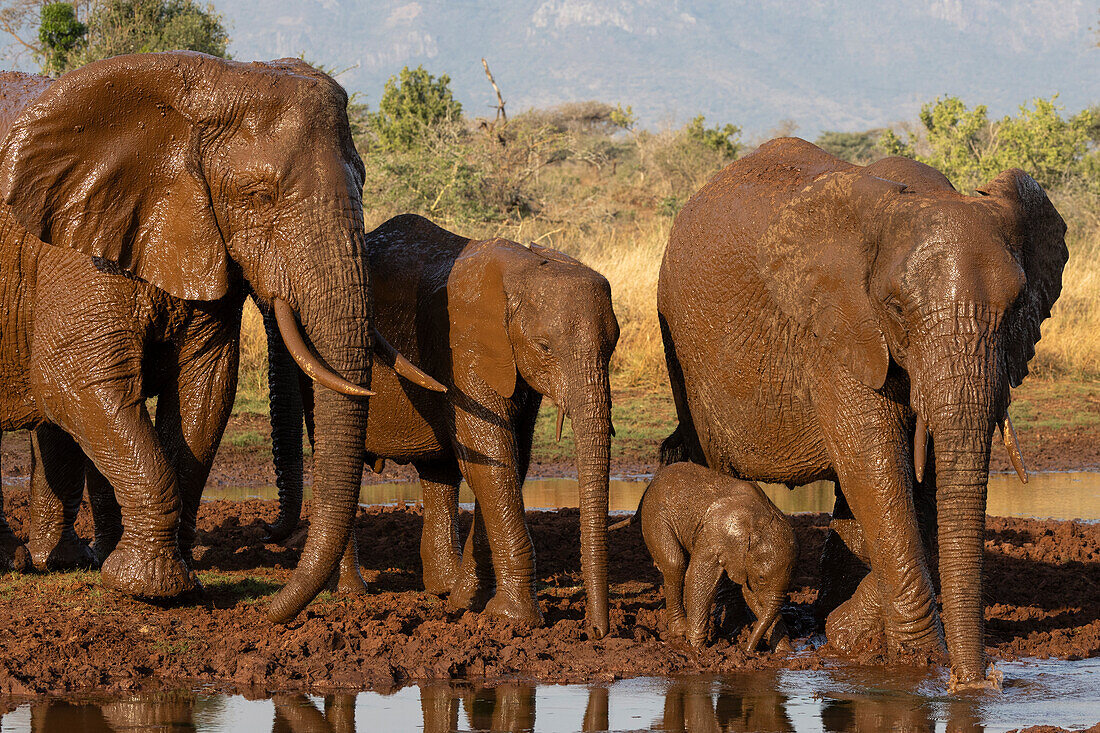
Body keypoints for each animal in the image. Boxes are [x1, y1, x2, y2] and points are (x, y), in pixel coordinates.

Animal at [0, 51, 429, 616]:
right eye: (257, 196)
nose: (266, 612)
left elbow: (204, 389)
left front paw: (182, 584)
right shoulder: (74, 248)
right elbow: (72, 381)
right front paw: (149, 589)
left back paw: (59, 562)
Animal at [629, 460, 800, 647]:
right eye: (762, 578)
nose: (747, 649)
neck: (758, 519)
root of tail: (653, 480)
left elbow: (753, 596)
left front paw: (785, 651)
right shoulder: (712, 535)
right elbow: (700, 578)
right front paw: (695, 649)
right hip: (655, 515)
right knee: (675, 563)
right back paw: (680, 631)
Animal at [655, 135, 1069, 686]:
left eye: (1019, 304)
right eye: (895, 308)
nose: (978, 681)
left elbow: (918, 480)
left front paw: (851, 639)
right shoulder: (837, 327)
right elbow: (874, 461)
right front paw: (917, 660)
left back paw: (822, 621)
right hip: (684, 347)